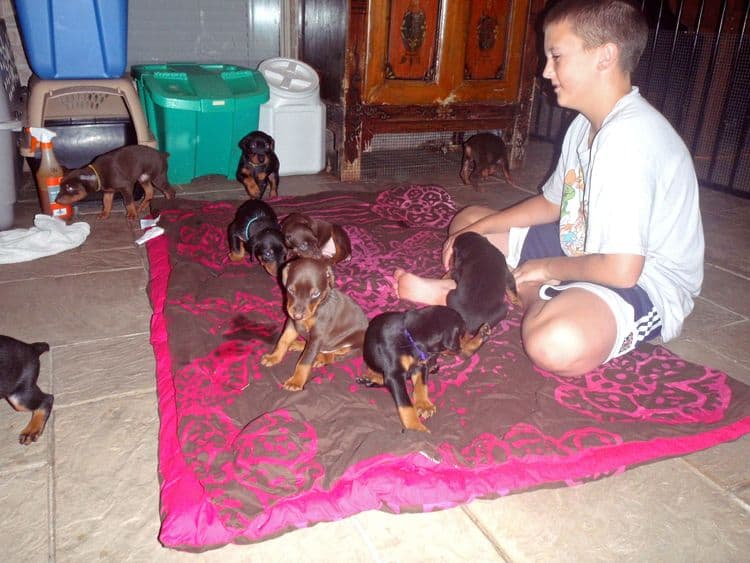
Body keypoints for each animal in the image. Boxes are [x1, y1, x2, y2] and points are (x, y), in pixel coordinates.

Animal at [262, 258, 368, 392]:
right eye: (291, 290)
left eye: (315, 294)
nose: (298, 315)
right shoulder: (292, 323)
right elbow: (283, 341)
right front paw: (274, 357)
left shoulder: (318, 335)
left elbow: (305, 361)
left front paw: (296, 381)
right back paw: (298, 344)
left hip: (354, 342)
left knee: (335, 355)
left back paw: (320, 358)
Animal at [360, 308, 490, 432]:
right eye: (463, 332)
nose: (470, 333)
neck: (411, 338)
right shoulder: (394, 374)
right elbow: (405, 403)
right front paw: (416, 427)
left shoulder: (421, 366)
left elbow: (421, 386)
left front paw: (424, 406)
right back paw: (369, 378)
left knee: (464, 352)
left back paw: (482, 333)